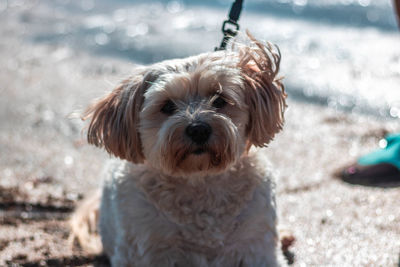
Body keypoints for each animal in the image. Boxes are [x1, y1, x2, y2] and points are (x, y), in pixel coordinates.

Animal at [70, 34, 286, 267]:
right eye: (167, 106)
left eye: (219, 99)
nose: (198, 129)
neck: (199, 179)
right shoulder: (149, 249)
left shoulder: (256, 244)